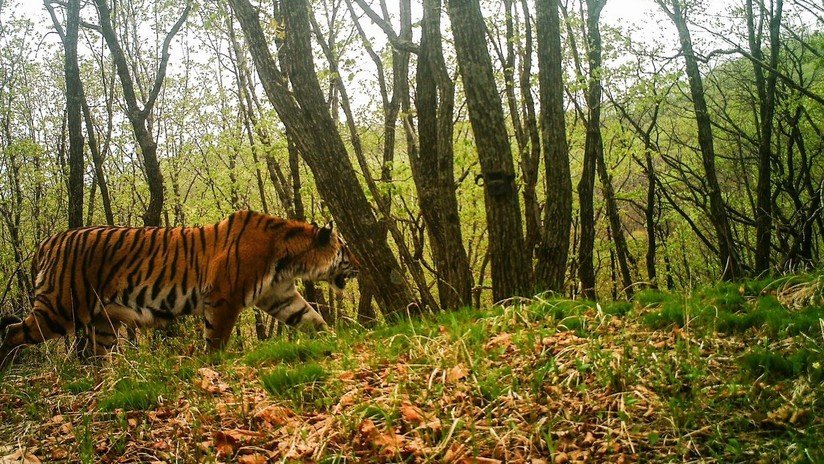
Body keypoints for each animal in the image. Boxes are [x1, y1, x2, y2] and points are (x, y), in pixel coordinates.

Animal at [0, 210, 360, 370]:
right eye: (346, 249)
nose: (360, 264)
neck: (290, 259)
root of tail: (48, 241)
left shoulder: (280, 295)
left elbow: (311, 319)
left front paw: (336, 341)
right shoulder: (224, 298)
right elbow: (216, 339)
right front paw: (213, 367)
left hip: (103, 321)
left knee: (99, 355)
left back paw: (110, 381)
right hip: (61, 307)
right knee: (13, 331)